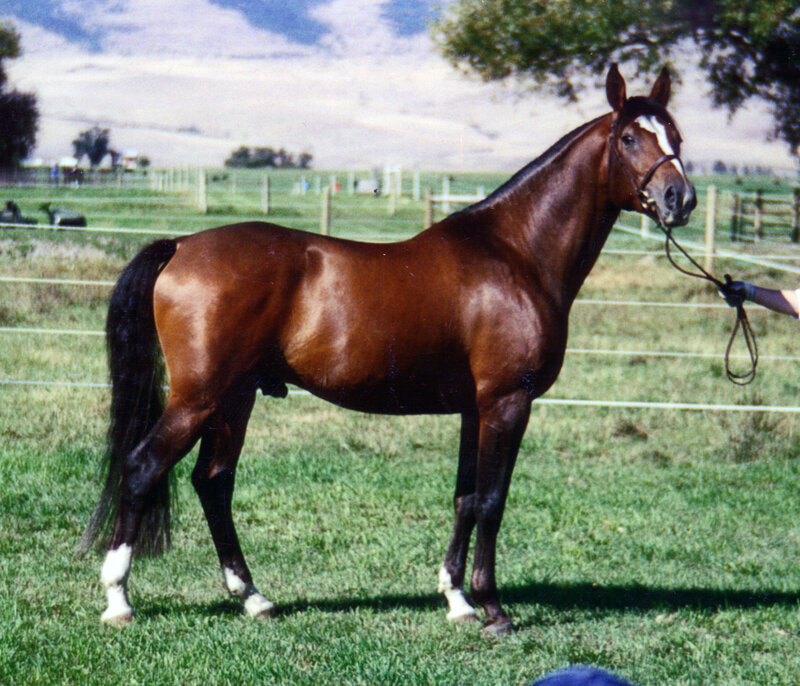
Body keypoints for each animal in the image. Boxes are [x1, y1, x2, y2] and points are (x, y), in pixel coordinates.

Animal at [81, 64, 695, 634]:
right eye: (628, 137)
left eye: (676, 135)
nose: (680, 198)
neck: (515, 253)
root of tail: (182, 245)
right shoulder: (506, 403)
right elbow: (492, 501)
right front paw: (493, 608)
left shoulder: (475, 409)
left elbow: (465, 499)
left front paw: (456, 600)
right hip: (199, 397)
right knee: (143, 466)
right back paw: (119, 601)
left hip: (235, 398)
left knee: (213, 481)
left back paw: (253, 598)